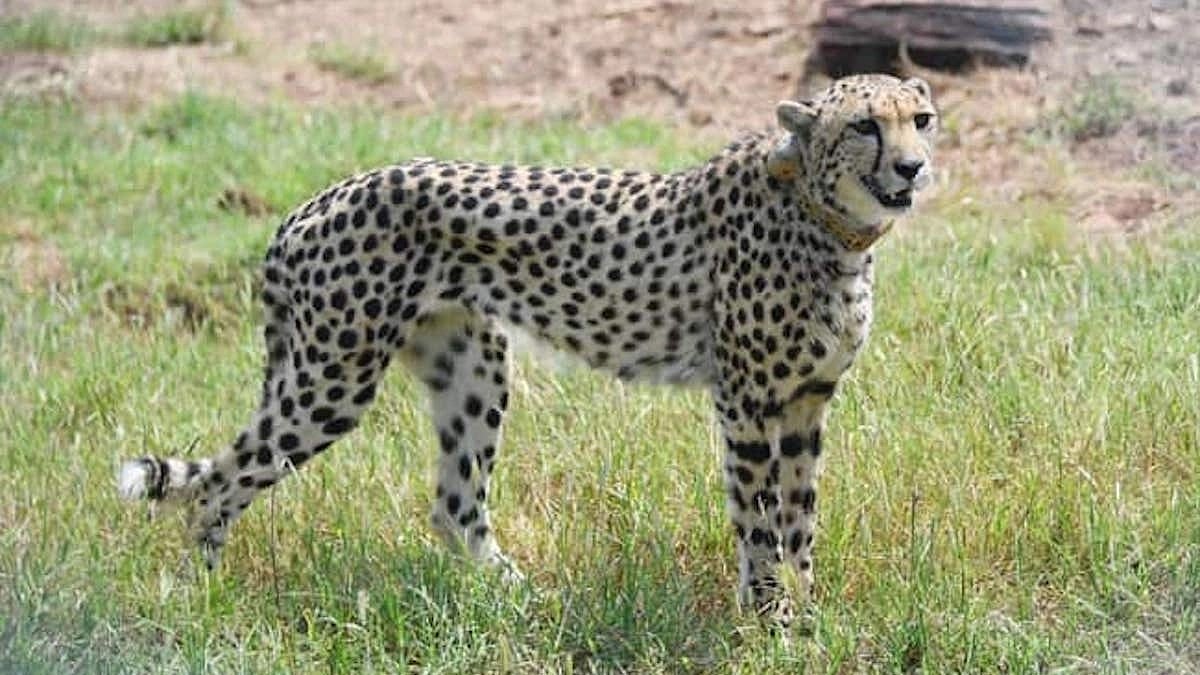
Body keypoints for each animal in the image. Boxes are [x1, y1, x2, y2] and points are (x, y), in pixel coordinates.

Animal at [117, 73, 938, 624]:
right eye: (866, 126)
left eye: (922, 119)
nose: (913, 166)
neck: (828, 222)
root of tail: (314, 201)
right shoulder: (747, 402)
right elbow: (760, 521)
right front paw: (772, 621)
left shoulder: (806, 402)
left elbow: (800, 520)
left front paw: (809, 615)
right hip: (333, 379)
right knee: (221, 483)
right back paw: (203, 597)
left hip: (472, 366)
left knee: (454, 506)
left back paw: (521, 600)